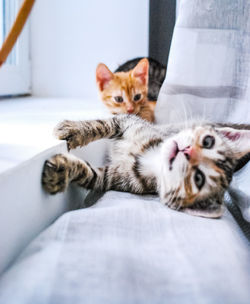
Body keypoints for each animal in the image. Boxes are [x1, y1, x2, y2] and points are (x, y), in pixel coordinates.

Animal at [42, 114, 249, 218]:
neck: (150, 157)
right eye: (208, 142)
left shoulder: (114, 178)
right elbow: (103, 124)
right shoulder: (128, 121)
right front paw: (74, 129)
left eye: (198, 178)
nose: (187, 151)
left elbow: (91, 174)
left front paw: (61, 171)